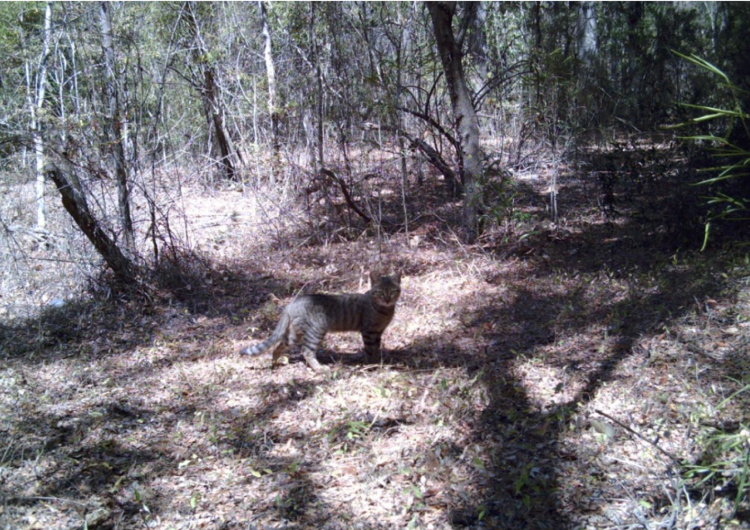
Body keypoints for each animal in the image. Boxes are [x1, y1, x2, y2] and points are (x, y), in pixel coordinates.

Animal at [242, 270, 406, 370]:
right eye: (380, 292)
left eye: (393, 291)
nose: (387, 300)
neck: (384, 310)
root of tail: (292, 303)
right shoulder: (369, 331)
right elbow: (370, 349)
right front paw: (372, 364)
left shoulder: (378, 332)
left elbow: (377, 348)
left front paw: (379, 360)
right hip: (315, 331)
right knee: (306, 351)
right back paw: (319, 369)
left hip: (294, 335)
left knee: (278, 345)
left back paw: (274, 362)